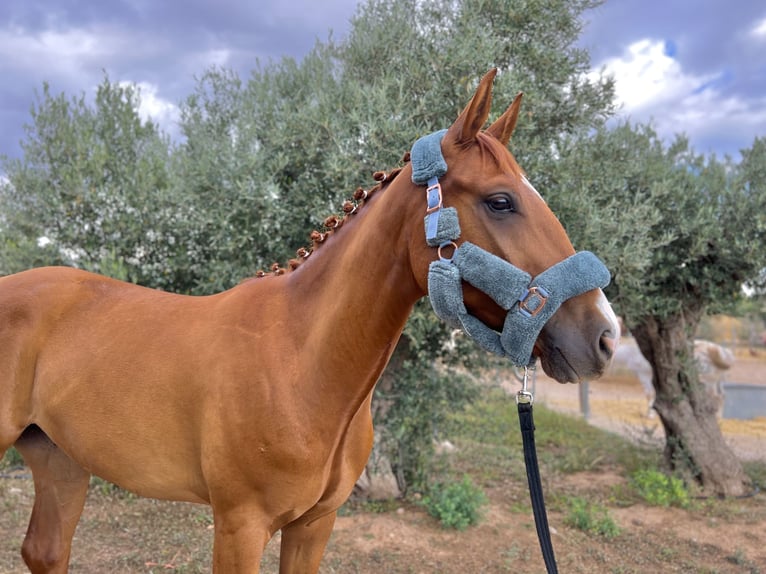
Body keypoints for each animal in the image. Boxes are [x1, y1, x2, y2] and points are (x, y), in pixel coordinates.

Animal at [0, 70, 620, 572]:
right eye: (500, 201)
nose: (604, 336)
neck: (300, 361)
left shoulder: (314, 525)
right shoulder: (240, 527)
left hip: (60, 459)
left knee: (45, 552)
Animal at [608, 338, 736, 418]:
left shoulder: (644, 374)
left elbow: (650, 394)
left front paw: (649, 415)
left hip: (708, 379)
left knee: (716, 396)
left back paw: (717, 416)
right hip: (719, 380)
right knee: (722, 395)